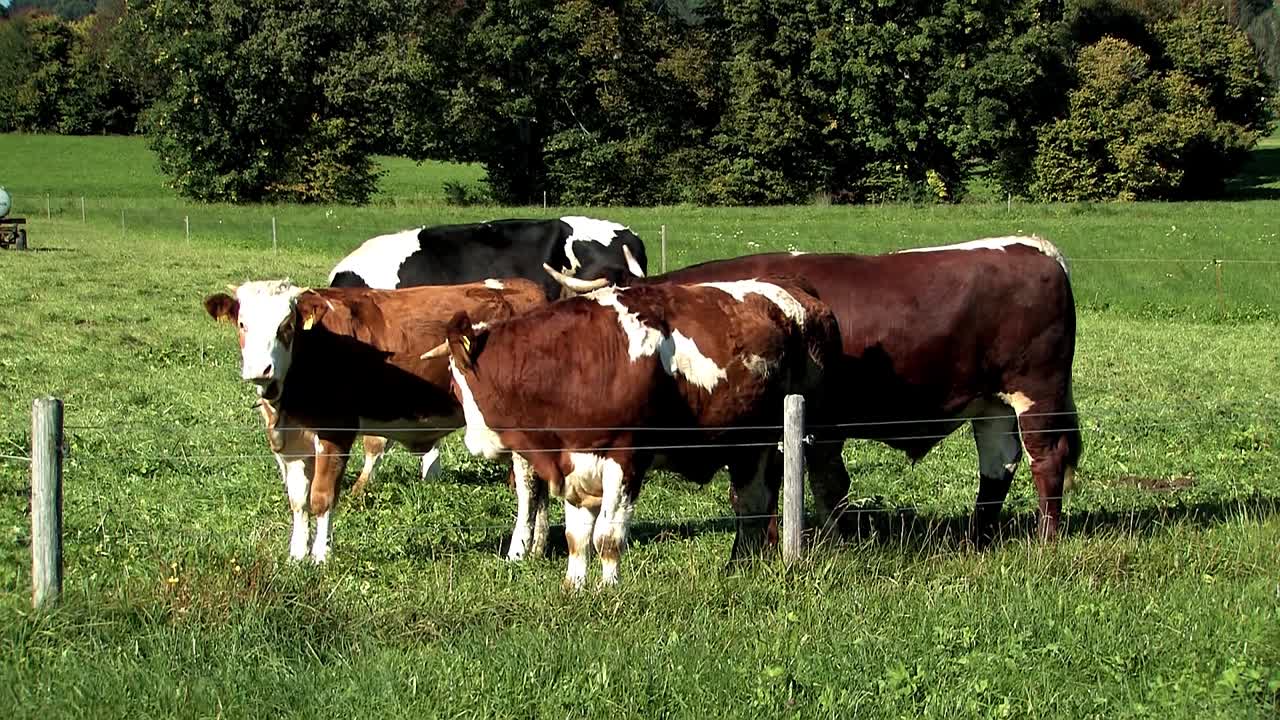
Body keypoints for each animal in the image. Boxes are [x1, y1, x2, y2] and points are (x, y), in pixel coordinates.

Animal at [203, 278, 546, 562]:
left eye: (286, 325)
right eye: (243, 324)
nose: (260, 369)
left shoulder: (336, 431)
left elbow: (322, 497)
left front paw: (320, 558)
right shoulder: (293, 444)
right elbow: (298, 501)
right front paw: (296, 557)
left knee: (526, 487)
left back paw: (517, 551)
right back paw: (537, 546)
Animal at [427, 279, 842, 589]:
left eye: (458, 385)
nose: (474, 443)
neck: (573, 361)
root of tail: (803, 298)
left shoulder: (627, 456)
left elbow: (607, 536)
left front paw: (608, 588)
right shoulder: (575, 462)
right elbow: (577, 537)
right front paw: (574, 586)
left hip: (810, 435)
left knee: (824, 485)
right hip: (750, 444)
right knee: (752, 503)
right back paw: (739, 567)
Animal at [544, 236, 1083, 545]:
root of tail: (1038, 248)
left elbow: (771, 492)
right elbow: (818, 486)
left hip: (1038, 393)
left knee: (1047, 459)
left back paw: (1046, 540)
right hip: (991, 404)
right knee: (998, 466)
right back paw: (977, 539)